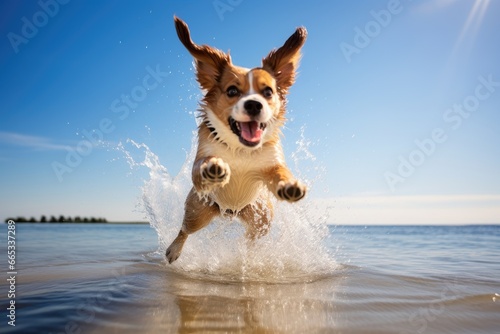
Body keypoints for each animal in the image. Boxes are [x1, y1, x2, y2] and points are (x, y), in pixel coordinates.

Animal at [167, 17, 308, 264]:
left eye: (268, 92)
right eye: (232, 91)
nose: (254, 104)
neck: (241, 149)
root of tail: (230, 212)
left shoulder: (270, 164)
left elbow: (280, 173)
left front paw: (289, 185)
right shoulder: (201, 161)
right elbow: (202, 166)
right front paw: (213, 168)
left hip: (261, 218)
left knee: (251, 238)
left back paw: (249, 254)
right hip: (198, 211)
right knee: (184, 230)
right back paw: (173, 250)